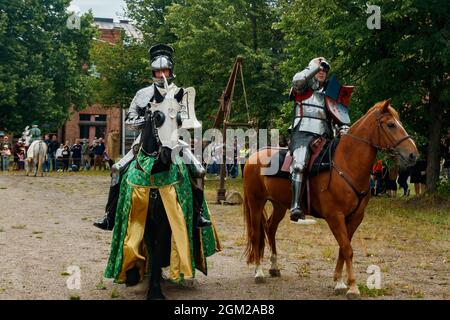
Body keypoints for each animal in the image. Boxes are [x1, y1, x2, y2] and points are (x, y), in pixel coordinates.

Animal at [243, 100, 418, 300]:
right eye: (390, 124)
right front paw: (352, 287)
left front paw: (339, 282)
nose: (413, 154)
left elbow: (343, 248)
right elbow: (347, 249)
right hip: (256, 202)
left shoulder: (354, 218)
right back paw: (259, 272)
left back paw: (274, 267)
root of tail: (252, 157)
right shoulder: (335, 216)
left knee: (270, 229)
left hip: (279, 205)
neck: (346, 164)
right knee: (256, 233)